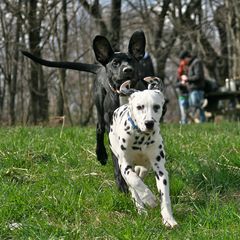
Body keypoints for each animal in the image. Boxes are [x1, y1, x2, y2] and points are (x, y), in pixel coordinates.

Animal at [22, 31, 146, 192]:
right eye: (115, 63)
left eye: (132, 61)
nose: (128, 70)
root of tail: (100, 67)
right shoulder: (113, 132)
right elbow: (117, 159)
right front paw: (122, 183)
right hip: (99, 107)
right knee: (99, 129)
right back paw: (101, 155)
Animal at [109, 78, 177, 228]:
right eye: (140, 107)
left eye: (156, 106)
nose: (149, 123)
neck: (140, 138)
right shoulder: (125, 165)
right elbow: (135, 182)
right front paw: (149, 198)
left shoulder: (160, 169)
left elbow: (165, 195)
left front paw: (168, 218)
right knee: (133, 186)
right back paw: (141, 208)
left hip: (147, 166)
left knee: (141, 173)